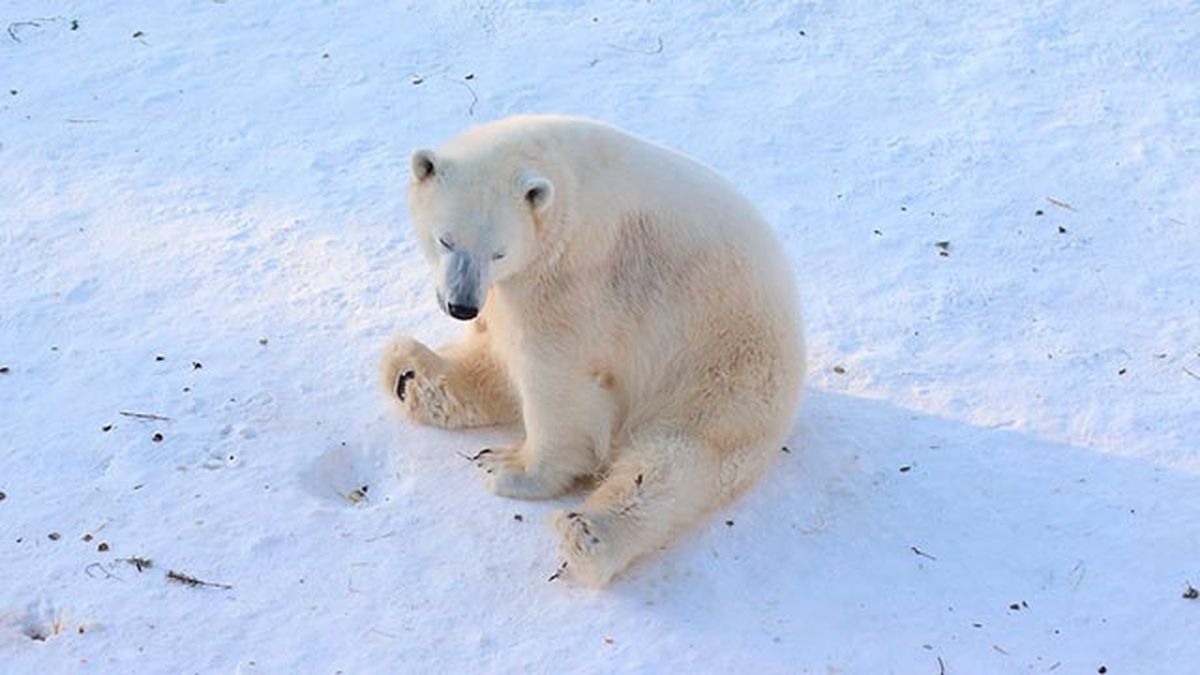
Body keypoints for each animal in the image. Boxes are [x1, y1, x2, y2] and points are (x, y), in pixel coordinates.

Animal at [381, 115, 805, 586]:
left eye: (498, 252)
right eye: (445, 240)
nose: (462, 306)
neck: (562, 186)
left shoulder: (575, 281)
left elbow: (555, 379)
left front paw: (514, 471)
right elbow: (498, 348)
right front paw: (427, 384)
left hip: (722, 376)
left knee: (675, 462)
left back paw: (587, 534)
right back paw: (409, 375)